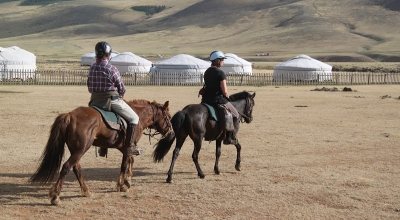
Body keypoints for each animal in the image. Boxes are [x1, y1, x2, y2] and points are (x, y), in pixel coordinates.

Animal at [28, 99, 172, 205]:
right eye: (168, 117)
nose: (171, 132)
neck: (138, 116)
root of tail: (70, 115)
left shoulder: (123, 147)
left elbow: (130, 160)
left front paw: (128, 181)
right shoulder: (127, 147)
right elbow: (124, 164)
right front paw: (122, 185)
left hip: (76, 150)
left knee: (76, 168)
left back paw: (86, 191)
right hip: (81, 149)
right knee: (66, 167)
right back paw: (56, 197)